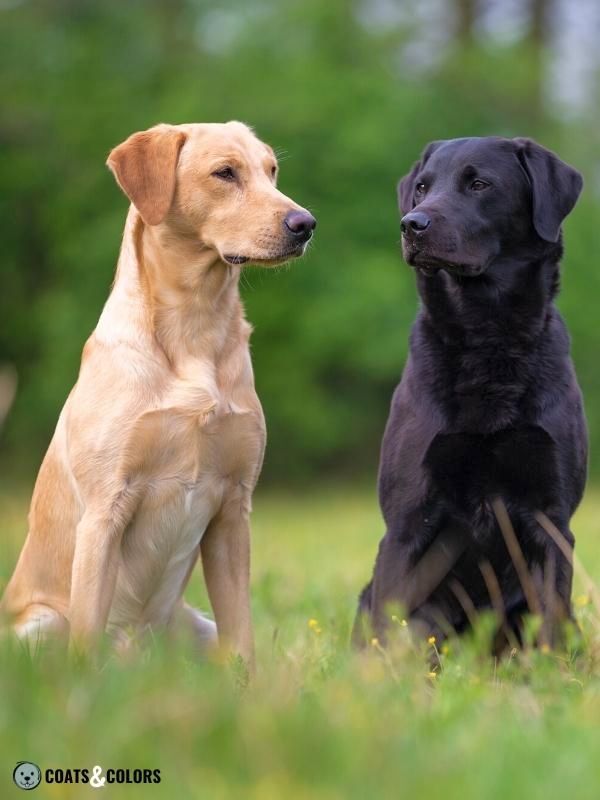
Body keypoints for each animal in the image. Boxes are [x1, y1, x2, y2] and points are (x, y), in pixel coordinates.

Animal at [1, 122, 318, 664]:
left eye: (271, 171)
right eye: (225, 172)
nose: (306, 223)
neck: (195, 326)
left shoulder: (233, 509)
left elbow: (243, 640)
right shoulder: (105, 509)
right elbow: (86, 640)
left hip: (196, 626)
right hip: (40, 626)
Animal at [354, 138, 584, 648]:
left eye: (479, 184)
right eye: (422, 187)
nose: (411, 224)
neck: (486, 336)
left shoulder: (552, 518)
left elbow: (550, 625)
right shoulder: (406, 521)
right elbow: (392, 622)